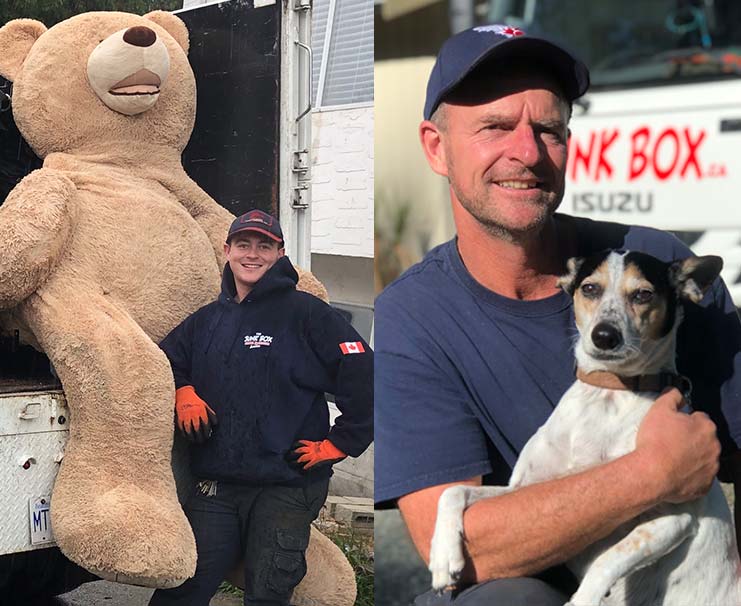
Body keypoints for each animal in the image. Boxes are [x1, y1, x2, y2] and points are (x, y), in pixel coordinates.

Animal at [428, 251, 740, 606]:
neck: (606, 393)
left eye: (643, 294)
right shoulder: (522, 489)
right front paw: (443, 557)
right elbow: (454, 490)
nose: (604, 336)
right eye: (590, 288)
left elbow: (609, 558)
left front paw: (582, 599)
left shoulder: (672, 520)